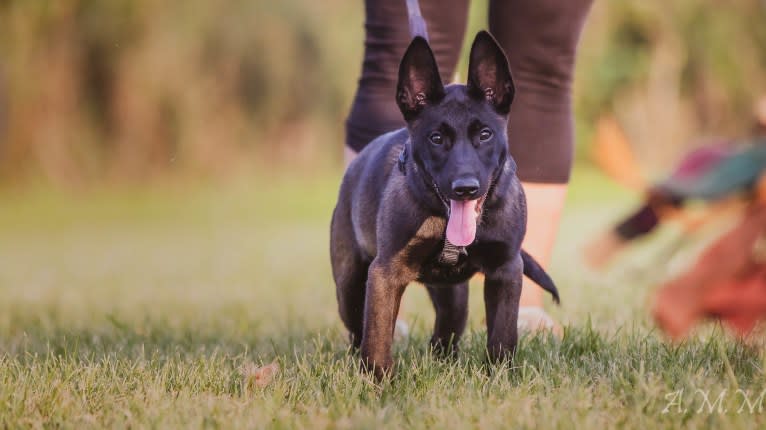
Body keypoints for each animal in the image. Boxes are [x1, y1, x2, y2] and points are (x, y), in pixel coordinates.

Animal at [332, 31, 560, 380]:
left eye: (485, 134)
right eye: (436, 138)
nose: (465, 188)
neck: (444, 218)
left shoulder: (506, 269)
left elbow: (502, 335)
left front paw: (499, 378)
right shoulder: (385, 273)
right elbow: (377, 334)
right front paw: (377, 383)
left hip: (453, 293)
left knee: (447, 330)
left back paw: (444, 364)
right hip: (349, 285)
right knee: (358, 327)